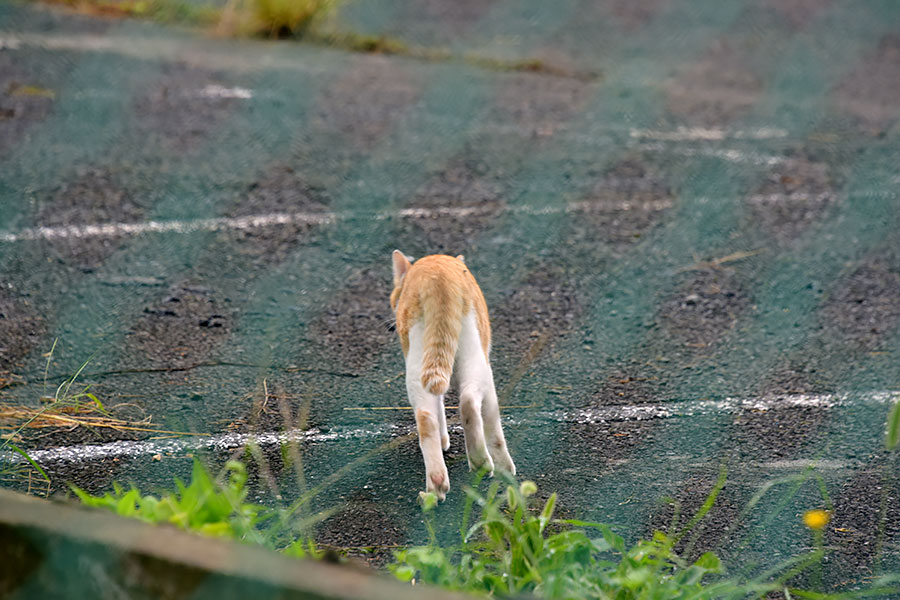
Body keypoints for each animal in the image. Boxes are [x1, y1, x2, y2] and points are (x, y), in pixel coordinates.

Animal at [390, 251, 516, 500]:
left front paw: (443, 441)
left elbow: (439, 409)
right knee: (470, 403)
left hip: (418, 363)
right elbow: (494, 430)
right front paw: (505, 467)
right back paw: (484, 463)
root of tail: (436, 275)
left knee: (426, 416)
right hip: (477, 359)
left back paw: (436, 485)